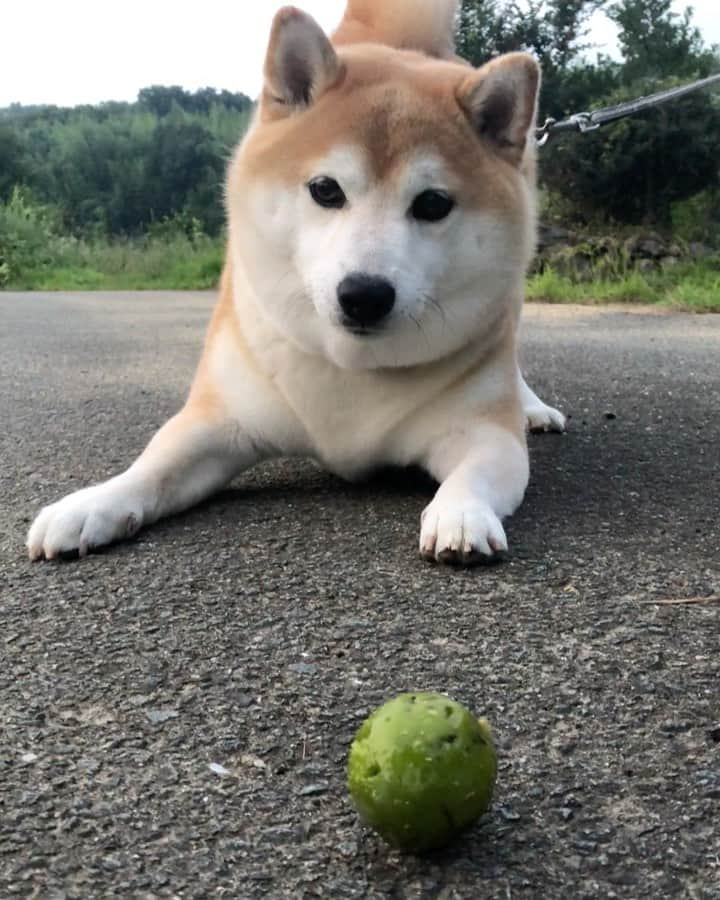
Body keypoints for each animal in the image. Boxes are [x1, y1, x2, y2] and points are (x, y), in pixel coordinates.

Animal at [28, 0, 564, 564]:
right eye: (326, 190)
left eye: (433, 204)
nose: (364, 294)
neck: (352, 370)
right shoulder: (219, 420)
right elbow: (152, 467)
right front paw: (93, 503)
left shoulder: (484, 432)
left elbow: (476, 472)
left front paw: (461, 514)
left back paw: (532, 407)